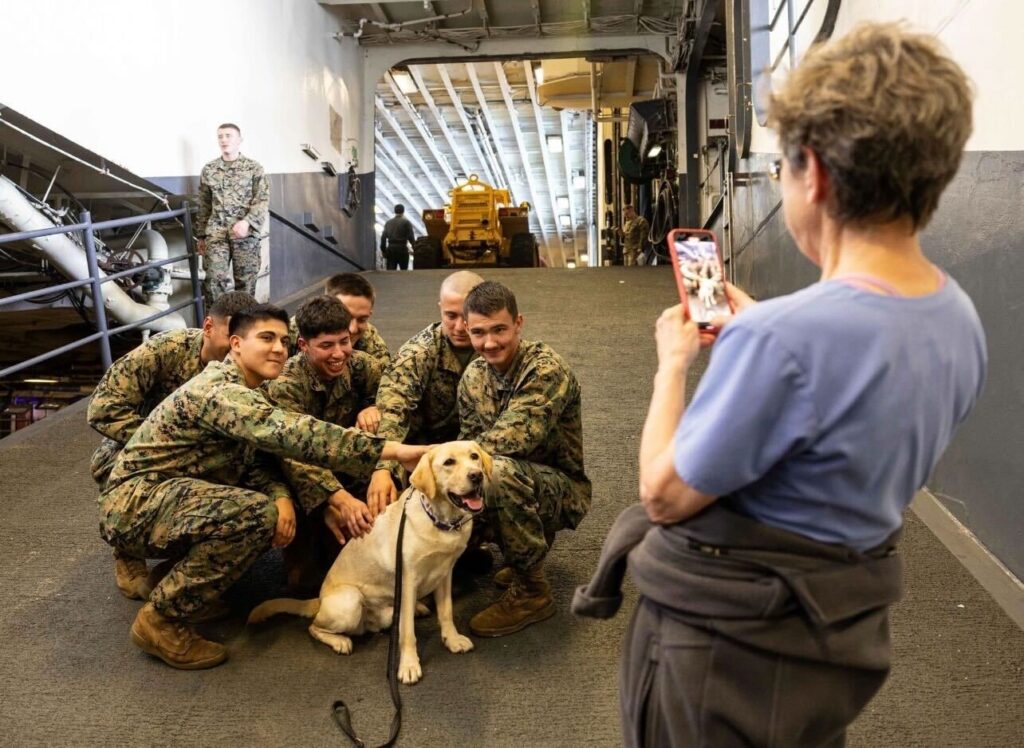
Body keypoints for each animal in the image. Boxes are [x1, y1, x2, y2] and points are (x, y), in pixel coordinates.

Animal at [245, 440, 489, 684]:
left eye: (474, 456)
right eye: (449, 462)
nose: (476, 475)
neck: (441, 521)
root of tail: (320, 600)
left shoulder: (445, 573)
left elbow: (446, 612)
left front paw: (452, 639)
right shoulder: (407, 580)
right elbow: (407, 632)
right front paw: (409, 665)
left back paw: (418, 608)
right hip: (350, 601)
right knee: (314, 627)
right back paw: (340, 641)